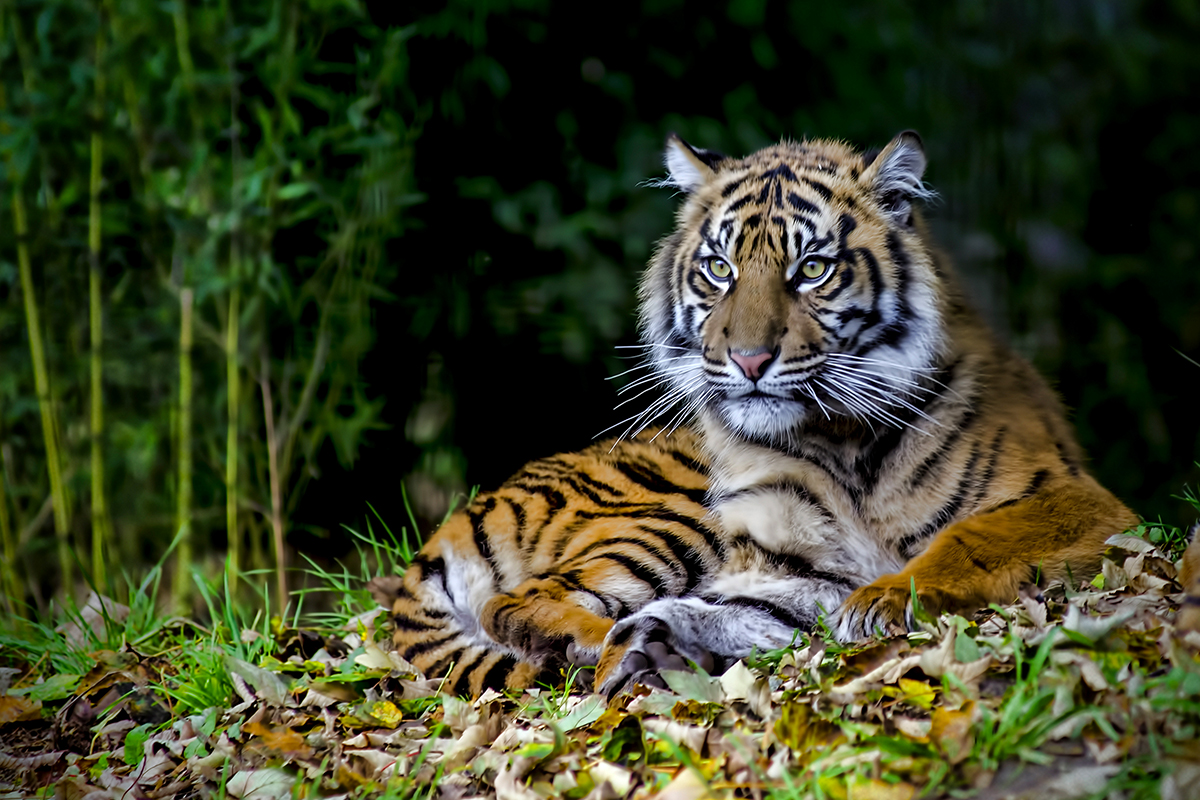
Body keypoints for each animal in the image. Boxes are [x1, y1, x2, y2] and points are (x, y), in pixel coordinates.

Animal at [379, 128, 1137, 695]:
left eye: (812, 270)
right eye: (719, 269)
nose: (747, 360)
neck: (841, 442)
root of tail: (457, 521)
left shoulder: (1076, 500)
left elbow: (966, 538)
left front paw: (882, 601)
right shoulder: (789, 558)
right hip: (672, 512)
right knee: (517, 602)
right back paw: (608, 650)